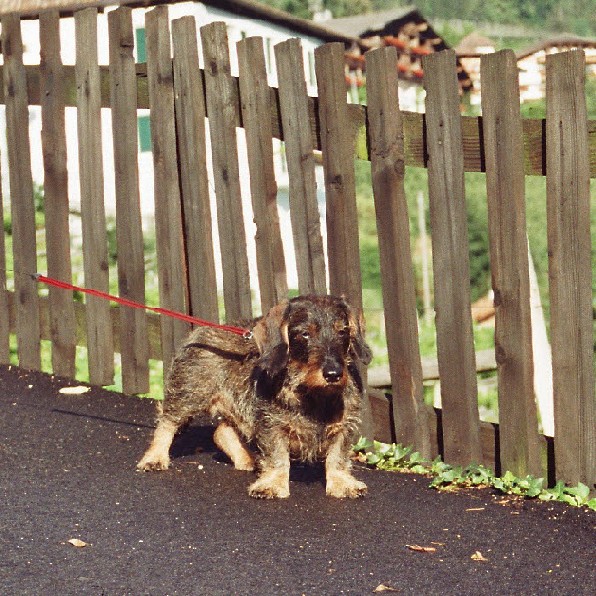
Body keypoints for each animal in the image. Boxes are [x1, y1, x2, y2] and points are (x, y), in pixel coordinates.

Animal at [139, 294, 372, 498]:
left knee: (222, 431)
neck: (312, 393)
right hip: (188, 394)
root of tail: (200, 332)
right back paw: (154, 458)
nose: (333, 374)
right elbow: (278, 455)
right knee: (167, 423)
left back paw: (247, 459)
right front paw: (273, 483)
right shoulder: (271, 424)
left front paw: (342, 483)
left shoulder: (345, 424)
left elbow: (338, 455)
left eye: (343, 331)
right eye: (305, 334)